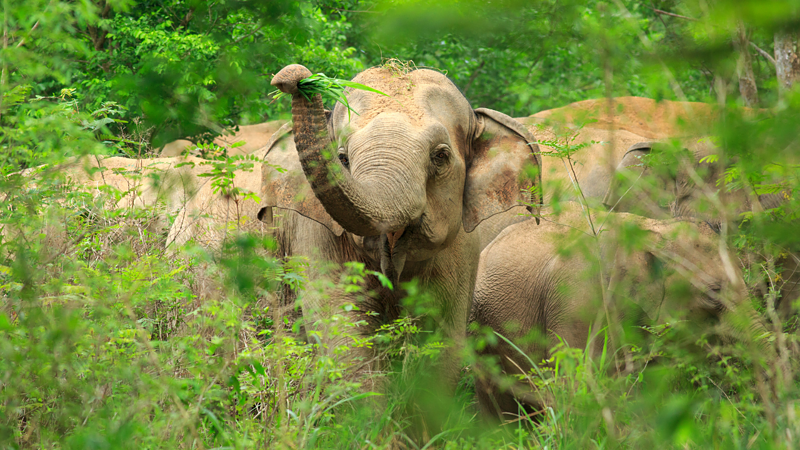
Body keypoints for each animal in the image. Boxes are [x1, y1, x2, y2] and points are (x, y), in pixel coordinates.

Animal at [260, 63, 540, 390]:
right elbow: (343, 331)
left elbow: (440, 341)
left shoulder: (460, 251)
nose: (292, 78)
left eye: (440, 156)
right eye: (342, 158)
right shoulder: (317, 237)